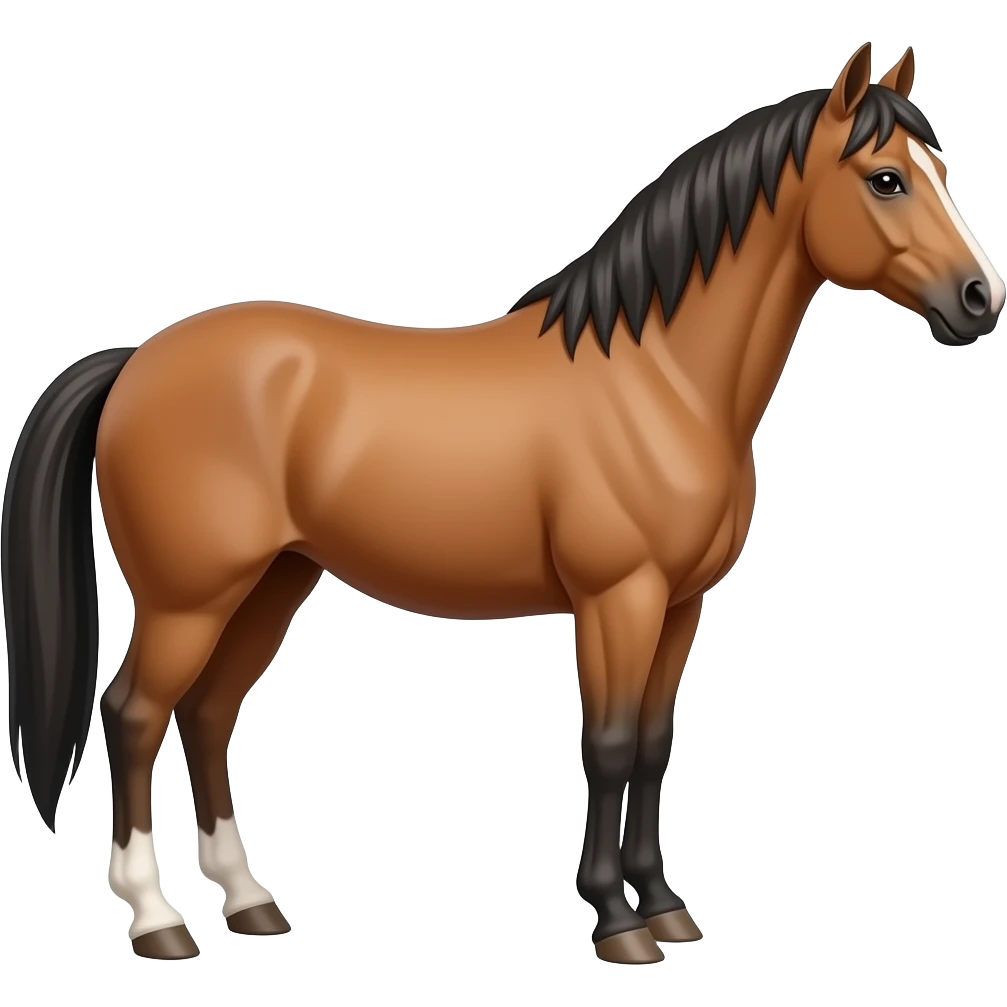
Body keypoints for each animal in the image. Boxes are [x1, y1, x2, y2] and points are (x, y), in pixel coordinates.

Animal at [1, 41, 1002, 964]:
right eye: (883, 179)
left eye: (942, 172)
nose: (978, 299)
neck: (659, 379)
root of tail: (136, 359)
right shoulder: (617, 598)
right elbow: (607, 743)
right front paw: (617, 922)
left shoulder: (680, 604)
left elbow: (653, 743)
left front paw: (664, 905)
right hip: (189, 596)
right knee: (134, 715)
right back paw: (156, 918)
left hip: (272, 582)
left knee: (208, 714)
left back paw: (249, 902)